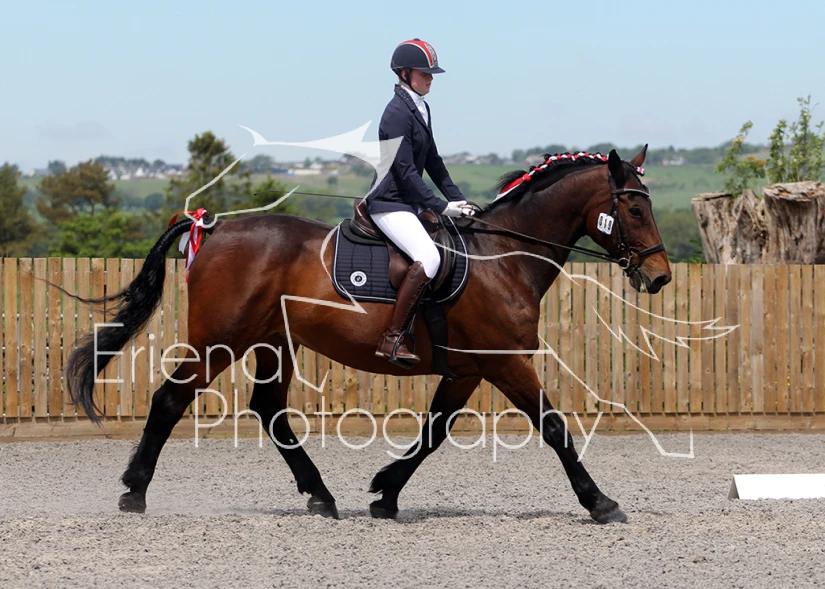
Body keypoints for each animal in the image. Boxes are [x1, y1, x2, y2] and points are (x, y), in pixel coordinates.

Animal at [66, 147, 671, 524]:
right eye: (633, 207)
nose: (660, 276)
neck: (503, 257)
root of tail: (212, 229)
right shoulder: (502, 361)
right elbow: (554, 428)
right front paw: (601, 503)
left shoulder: (467, 369)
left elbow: (434, 431)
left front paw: (385, 492)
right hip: (221, 341)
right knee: (172, 399)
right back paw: (134, 492)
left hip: (273, 342)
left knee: (269, 409)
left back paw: (320, 497)